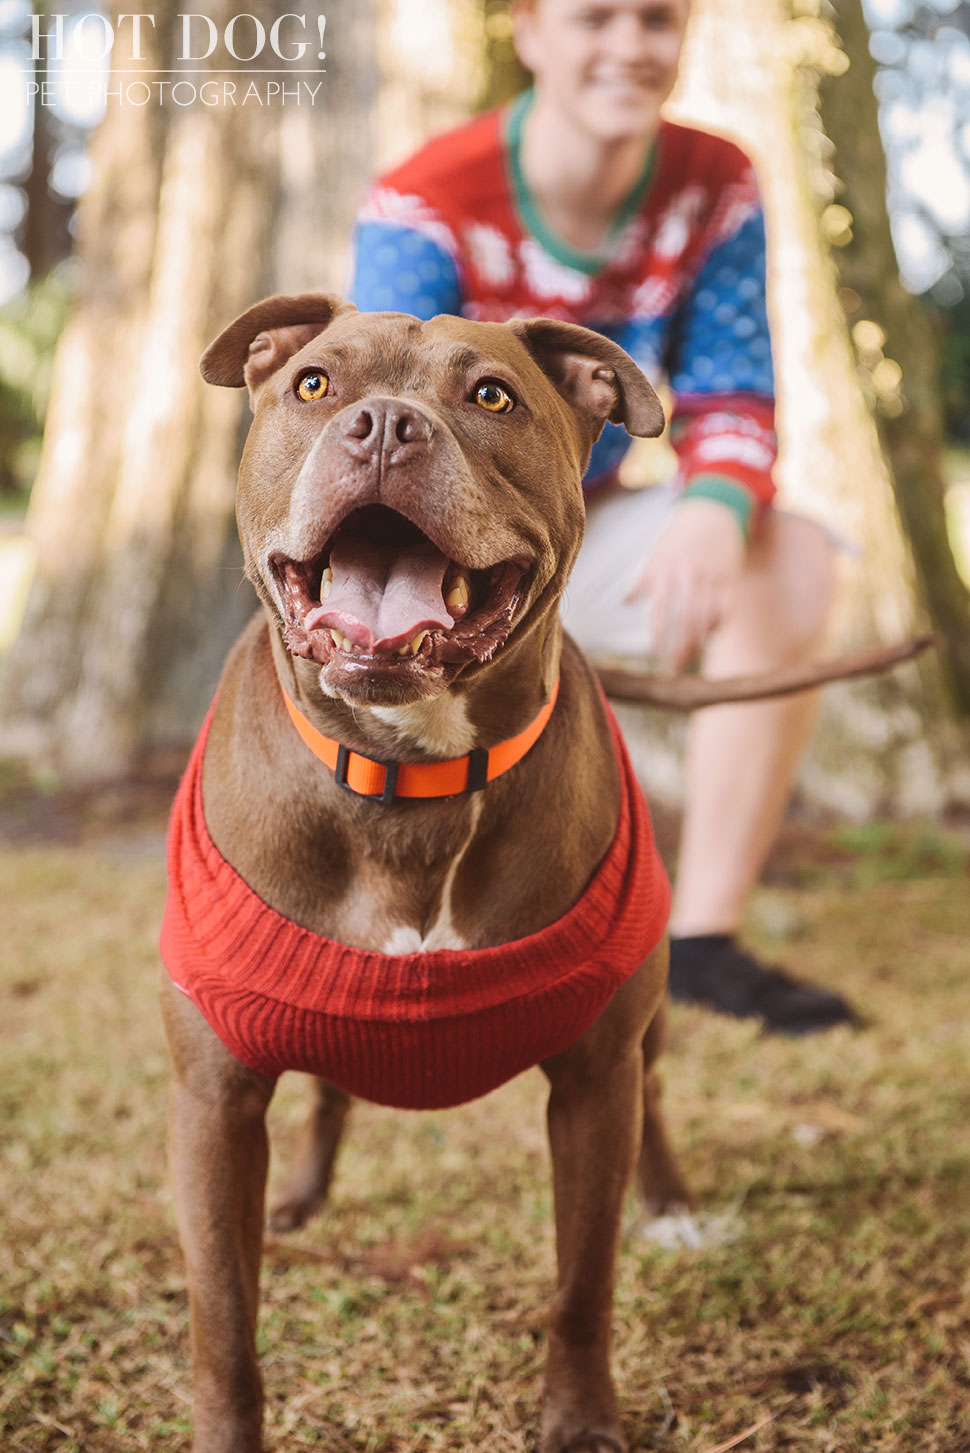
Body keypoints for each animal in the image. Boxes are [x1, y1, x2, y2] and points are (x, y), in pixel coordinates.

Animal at [159, 292, 688, 1453]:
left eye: (490, 395)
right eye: (314, 384)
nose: (386, 428)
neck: (411, 773)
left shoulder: (593, 1084)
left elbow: (582, 1285)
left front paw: (581, 1418)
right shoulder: (213, 1100)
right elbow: (225, 1330)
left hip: (645, 1026)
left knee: (657, 1087)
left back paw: (671, 1200)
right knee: (327, 1096)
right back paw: (300, 1194)